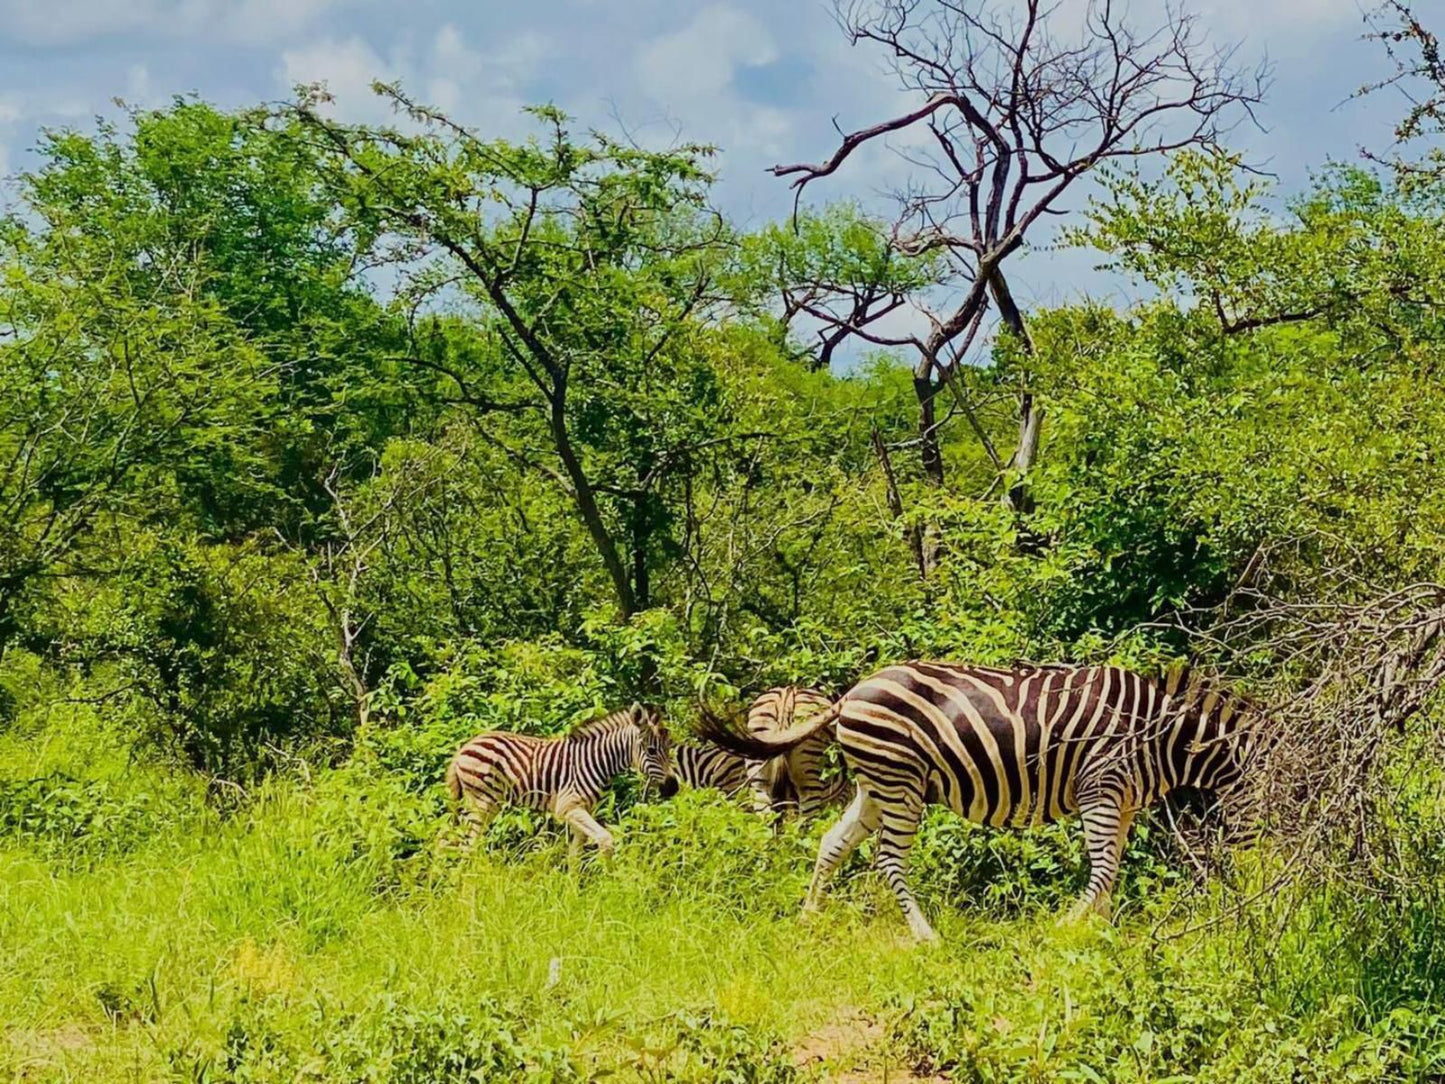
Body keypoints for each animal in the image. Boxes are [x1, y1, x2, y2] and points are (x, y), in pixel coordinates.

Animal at [445, 705, 676, 867]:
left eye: (668, 748)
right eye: (652, 750)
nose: (673, 787)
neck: (595, 761)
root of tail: (464, 748)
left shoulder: (581, 810)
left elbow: (575, 856)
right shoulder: (568, 807)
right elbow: (605, 839)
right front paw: (610, 884)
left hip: (485, 804)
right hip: (482, 802)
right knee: (467, 846)